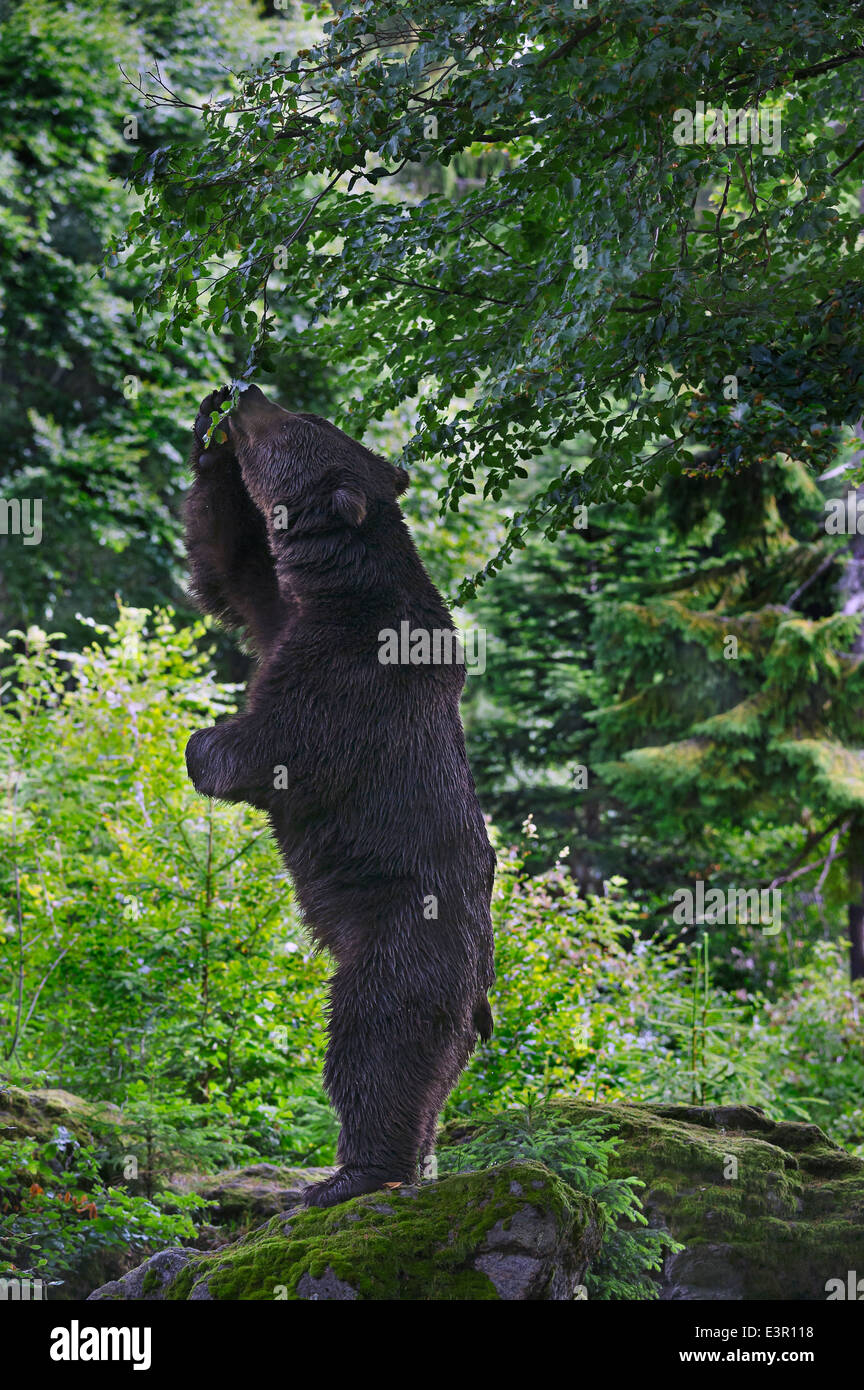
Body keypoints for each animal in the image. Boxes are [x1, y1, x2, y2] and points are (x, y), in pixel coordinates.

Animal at [184, 383, 494, 1206]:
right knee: (423, 1080)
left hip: (403, 940)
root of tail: (480, 999)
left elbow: (282, 747)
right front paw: (205, 436)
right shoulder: (277, 610)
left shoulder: (354, 673)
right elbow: (227, 566)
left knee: (374, 1043)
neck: (335, 583)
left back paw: (346, 1176)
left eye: (301, 423)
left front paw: (202, 746)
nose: (248, 393)